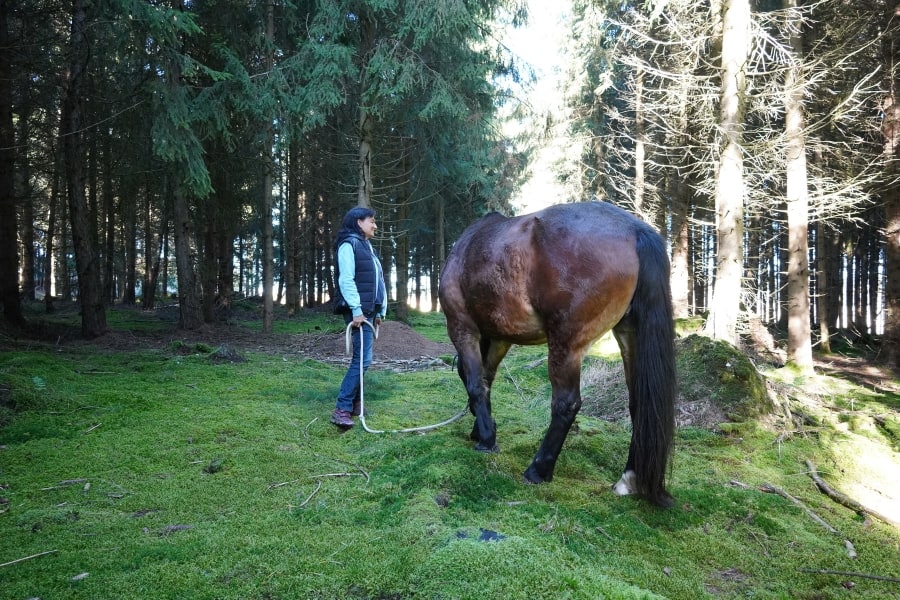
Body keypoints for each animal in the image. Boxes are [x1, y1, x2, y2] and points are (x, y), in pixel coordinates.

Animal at [436, 202, 676, 506]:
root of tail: (635, 230)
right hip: (628, 332)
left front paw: (486, 440)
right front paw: (484, 430)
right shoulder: (501, 338)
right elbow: (486, 380)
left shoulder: (462, 326)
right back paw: (628, 480)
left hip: (566, 344)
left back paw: (538, 470)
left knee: (565, 404)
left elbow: (476, 384)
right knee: (638, 403)